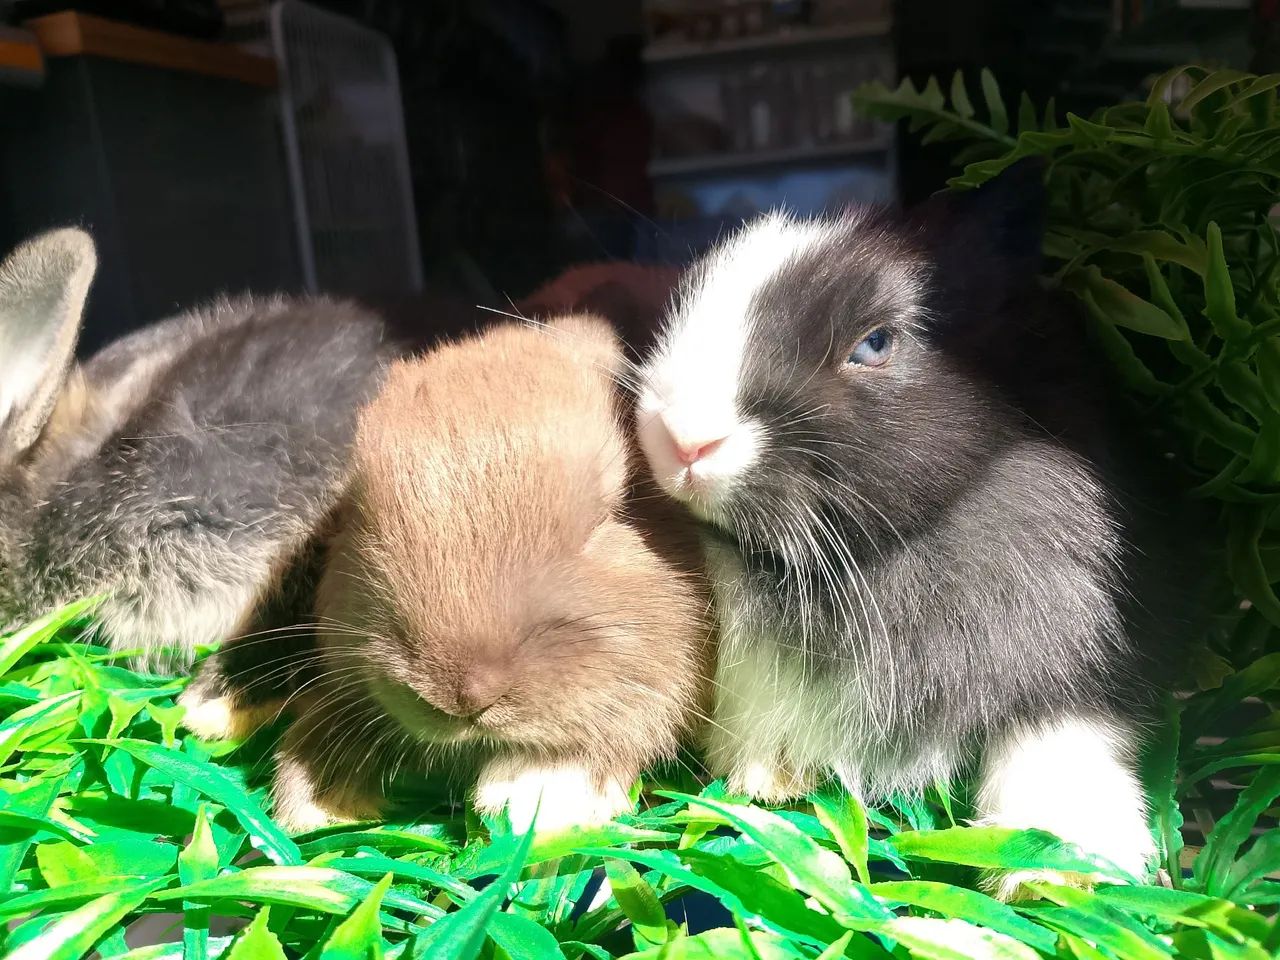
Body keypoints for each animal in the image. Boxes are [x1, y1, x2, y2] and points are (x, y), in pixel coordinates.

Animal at [633, 160, 1203, 899]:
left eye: (875, 343)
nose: (679, 439)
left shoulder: (1089, 640)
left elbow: (1061, 732)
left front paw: (1061, 864)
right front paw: (768, 781)